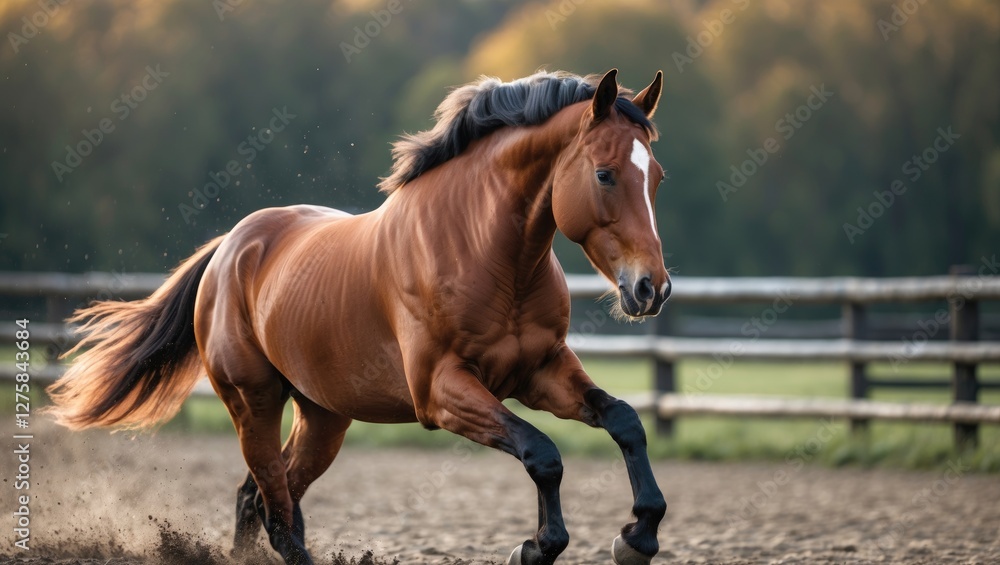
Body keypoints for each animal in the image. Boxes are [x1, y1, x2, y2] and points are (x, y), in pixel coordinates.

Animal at [47, 68, 671, 565]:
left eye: (657, 176)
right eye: (605, 173)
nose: (652, 288)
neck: (489, 255)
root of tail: (230, 247)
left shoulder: (539, 371)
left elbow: (625, 422)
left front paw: (637, 536)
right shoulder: (442, 393)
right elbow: (543, 454)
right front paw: (538, 546)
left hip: (323, 418)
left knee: (261, 498)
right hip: (253, 403)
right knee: (276, 513)